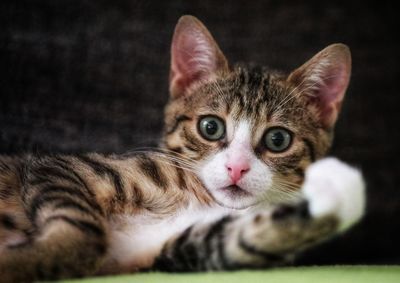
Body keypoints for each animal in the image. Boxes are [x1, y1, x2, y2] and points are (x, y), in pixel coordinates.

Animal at [0, 16, 364, 283]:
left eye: (278, 140)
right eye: (210, 127)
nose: (237, 168)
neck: (199, 196)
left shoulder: (166, 252)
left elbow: (236, 239)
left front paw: (337, 193)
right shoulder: (61, 168)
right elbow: (81, 231)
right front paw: (21, 263)